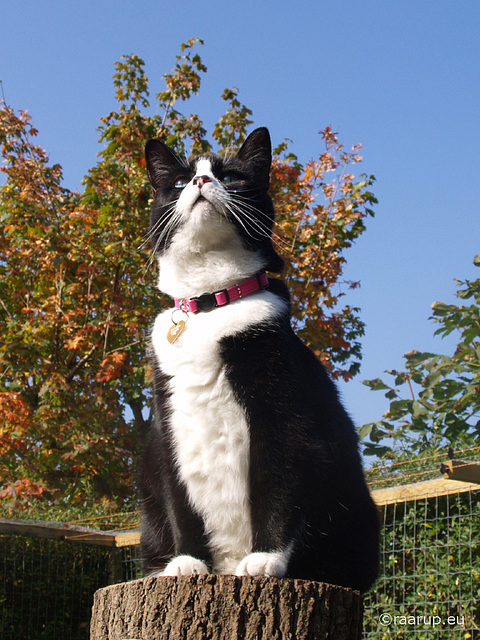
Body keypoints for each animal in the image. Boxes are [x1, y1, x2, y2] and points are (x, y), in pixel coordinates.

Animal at [141, 127, 380, 592]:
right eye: (178, 182)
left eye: (231, 176)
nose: (201, 181)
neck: (210, 303)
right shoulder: (167, 424)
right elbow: (178, 495)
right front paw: (186, 562)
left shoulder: (283, 409)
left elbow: (279, 478)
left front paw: (266, 558)